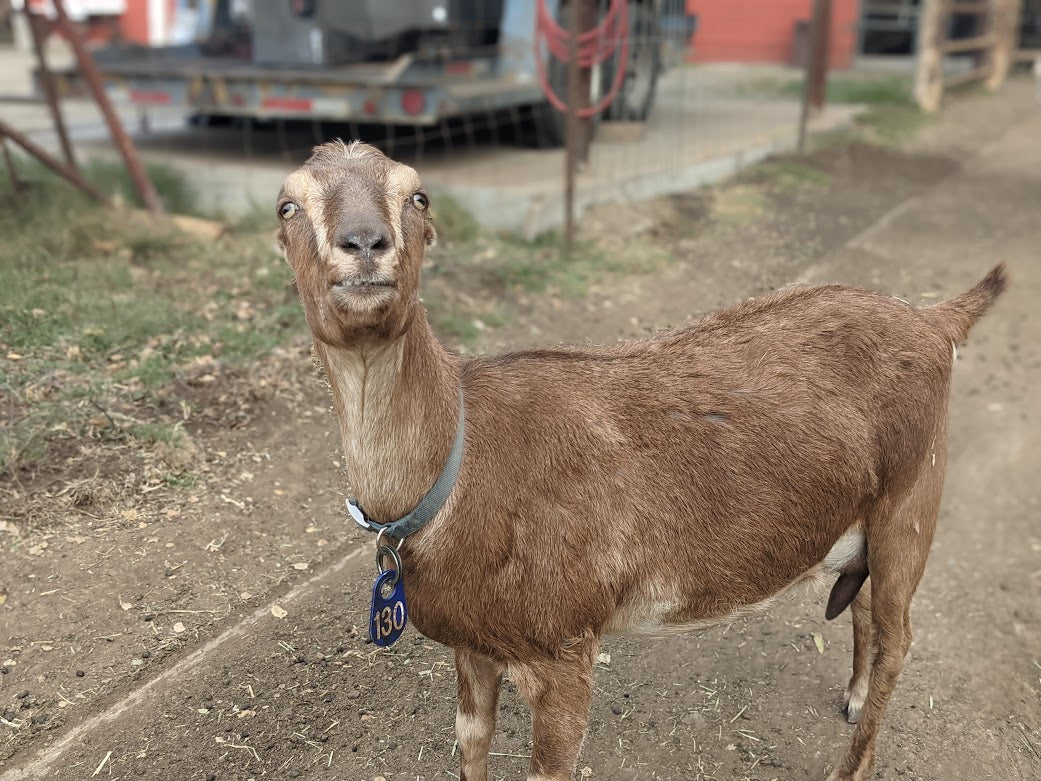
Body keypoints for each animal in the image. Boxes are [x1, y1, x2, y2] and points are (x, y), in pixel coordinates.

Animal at [277, 140, 1006, 781]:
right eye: (286, 205)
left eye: (418, 195)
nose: (364, 242)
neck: (459, 470)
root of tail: (935, 321)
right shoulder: (473, 646)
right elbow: (470, 745)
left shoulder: (565, 649)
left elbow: (550, 766)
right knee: (867, 610)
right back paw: (851, 696)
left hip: (914, 496)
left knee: (900, 635)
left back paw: (851, 765)